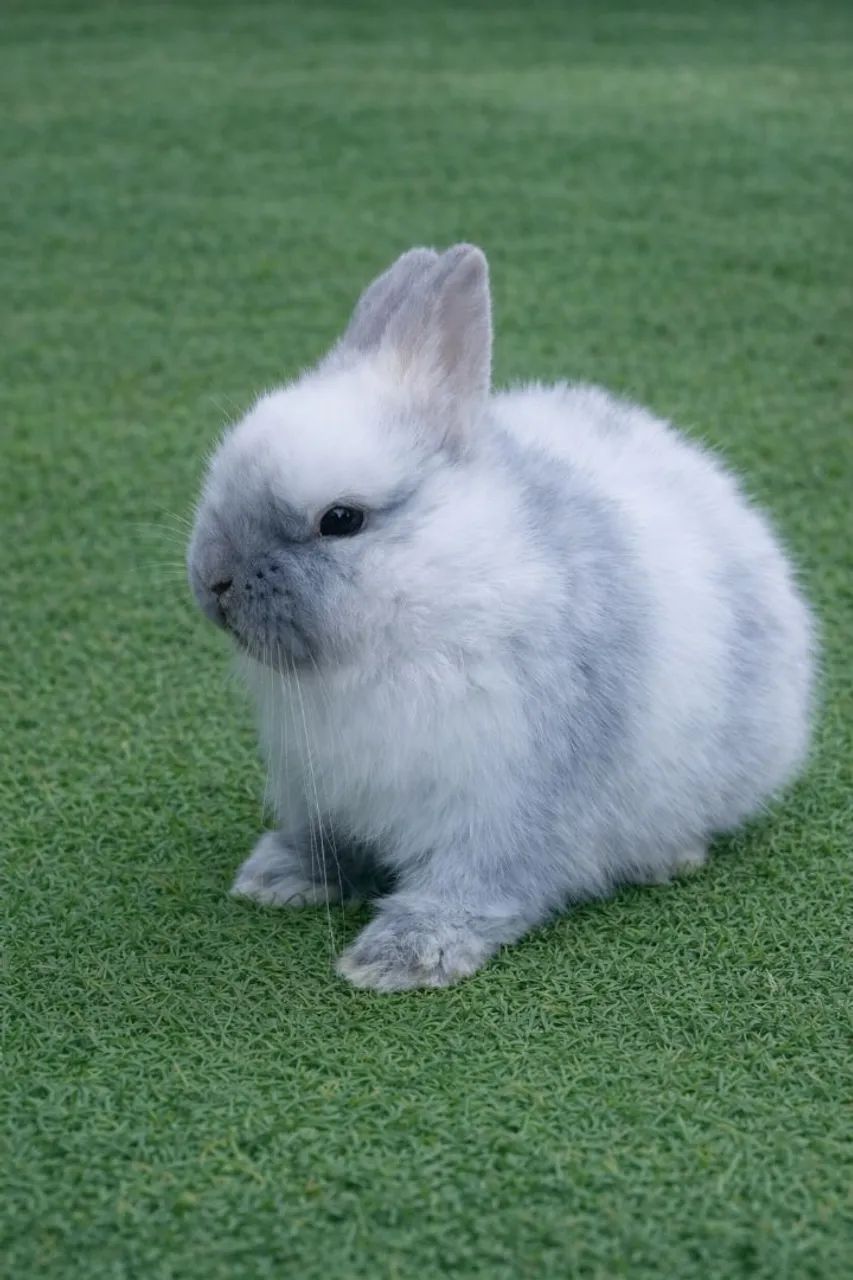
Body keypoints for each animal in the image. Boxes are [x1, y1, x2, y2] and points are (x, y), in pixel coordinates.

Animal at [186, 243, 816, 992]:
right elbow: (325, 844)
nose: (212, 581)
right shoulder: (318, 787)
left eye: (340, 520)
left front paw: (398, 959)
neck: (416, 608)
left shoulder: (503, 804)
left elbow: (475, 887)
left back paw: (672, 858)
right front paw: (276, 878)